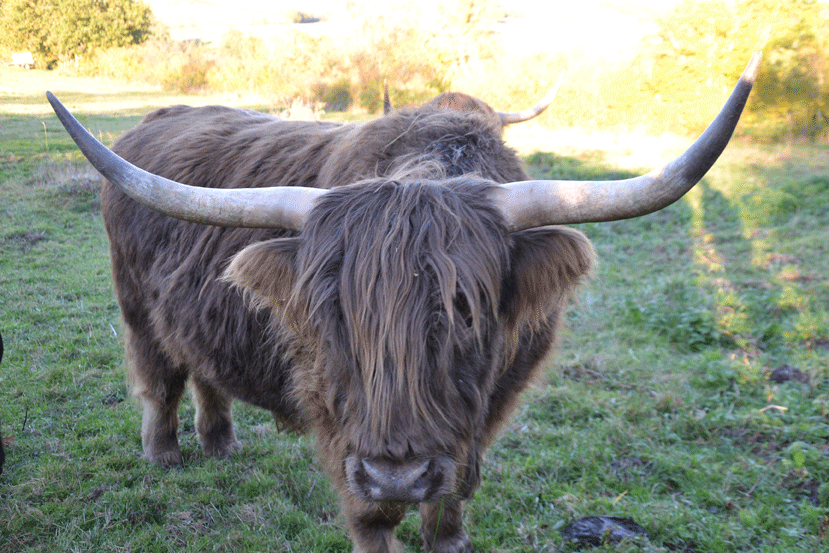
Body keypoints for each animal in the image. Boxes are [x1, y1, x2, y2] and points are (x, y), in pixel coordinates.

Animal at [50, 52, 764, 552]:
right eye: (328, 315)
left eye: (467, 309)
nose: (397, 473)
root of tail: (156, 119)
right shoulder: (342, 426)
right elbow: (371, 518)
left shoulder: (482, 416)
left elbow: (449, 505)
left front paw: (449, 535)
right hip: (135, 305)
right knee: (159, 377)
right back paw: (165, 454)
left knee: (203, 367)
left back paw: (221, 444)